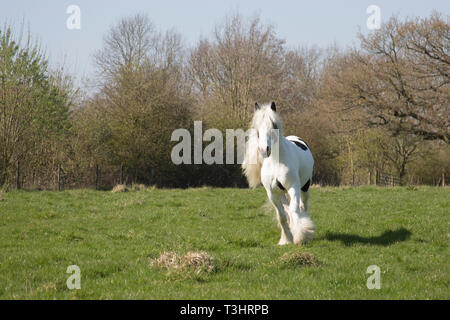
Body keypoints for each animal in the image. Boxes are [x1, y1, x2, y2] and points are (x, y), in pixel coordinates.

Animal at [243, 102, 316, 245]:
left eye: (274, 125)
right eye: (257, 129)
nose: (264, 150)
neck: (276, 162)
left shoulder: (293, 187)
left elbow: (294, 210)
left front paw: (301, 236)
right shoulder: (272, 193)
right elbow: (282, 215)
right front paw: (287, 239)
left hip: (305, 188)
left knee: (303, 207)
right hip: (282, 194)